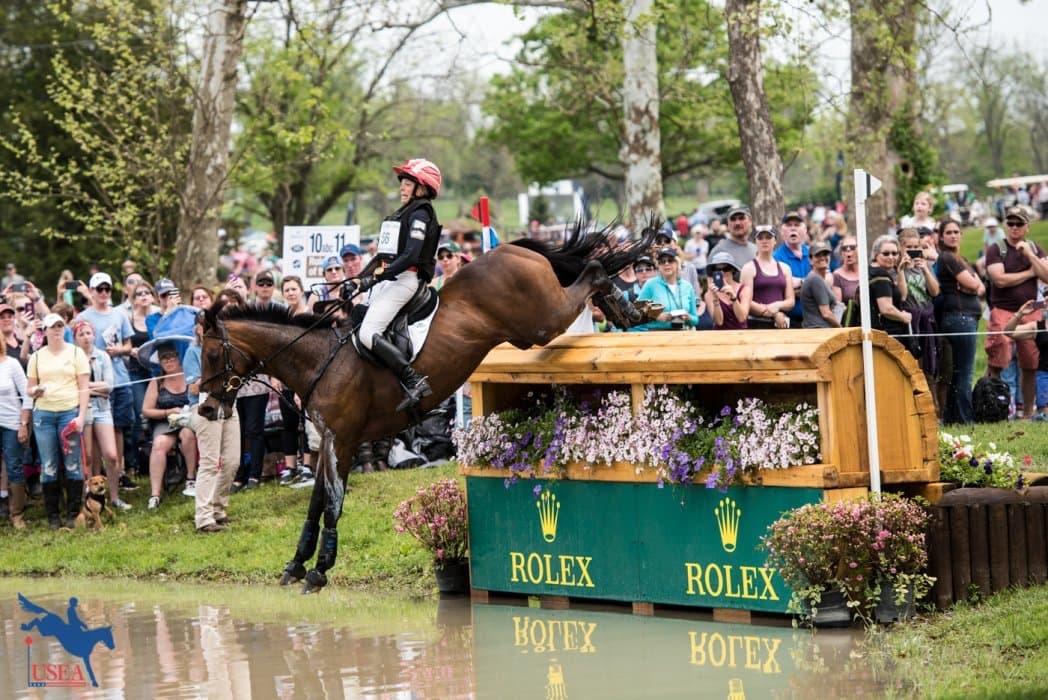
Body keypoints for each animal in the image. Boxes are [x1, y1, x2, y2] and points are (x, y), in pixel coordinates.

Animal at [199, 222, 657, 593]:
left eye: (210, 354)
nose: (205, 408)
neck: (318, 360)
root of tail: (514, 250)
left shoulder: (341, 440)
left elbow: (332, 501)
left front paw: (319, 570)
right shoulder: (330, 440)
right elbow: (316, 502)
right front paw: (296, 564)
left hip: (542, 320)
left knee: (590, 272)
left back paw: (626, 306)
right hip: (532, 327)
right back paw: (628, 308)